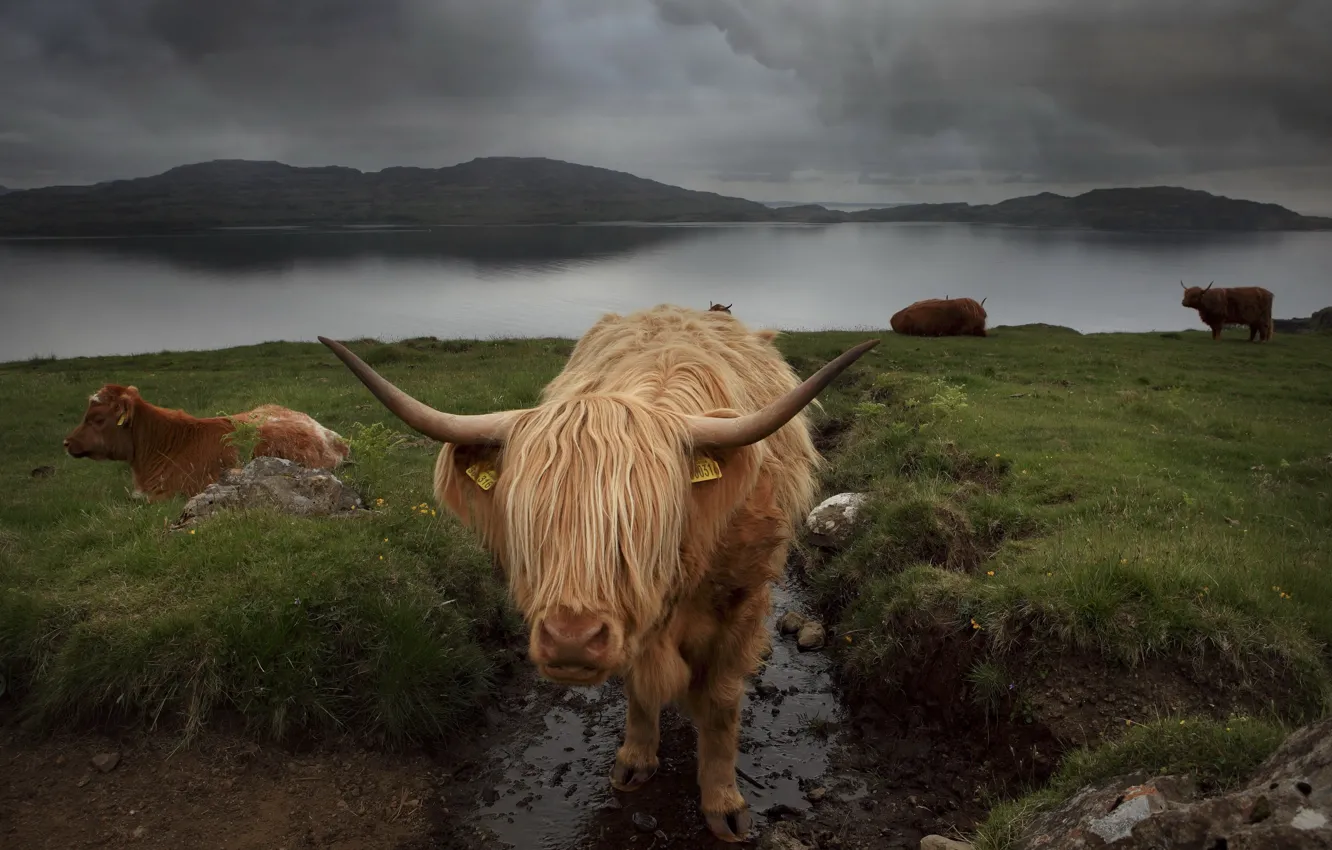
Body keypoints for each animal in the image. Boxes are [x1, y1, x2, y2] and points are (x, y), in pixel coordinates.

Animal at [318, 305, 877, 842]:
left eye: (643, 529)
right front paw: (635, 760)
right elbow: (637, 689)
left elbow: (720, 704)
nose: (571, 640)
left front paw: (724, 805)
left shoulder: (743, 602)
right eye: (530, 524)